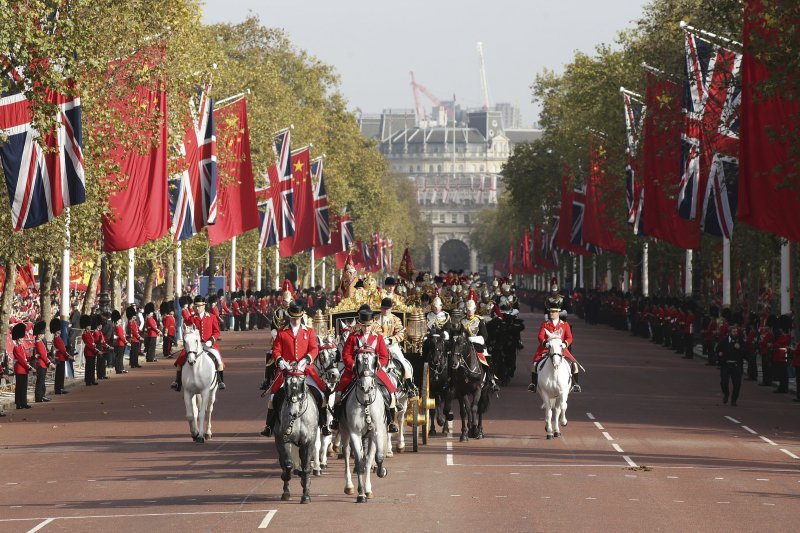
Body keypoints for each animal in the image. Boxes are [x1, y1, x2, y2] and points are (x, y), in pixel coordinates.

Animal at [340, 352, 388, 500]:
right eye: (358, 361)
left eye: (374, 362)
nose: (366, 387)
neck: (366, 403)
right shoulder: (355, 434)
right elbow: (360, 462)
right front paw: (361, 493)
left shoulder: (376, 432)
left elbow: (376, 457)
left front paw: (380, 472)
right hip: (345, 432)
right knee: (346, 453)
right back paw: (349, 486)